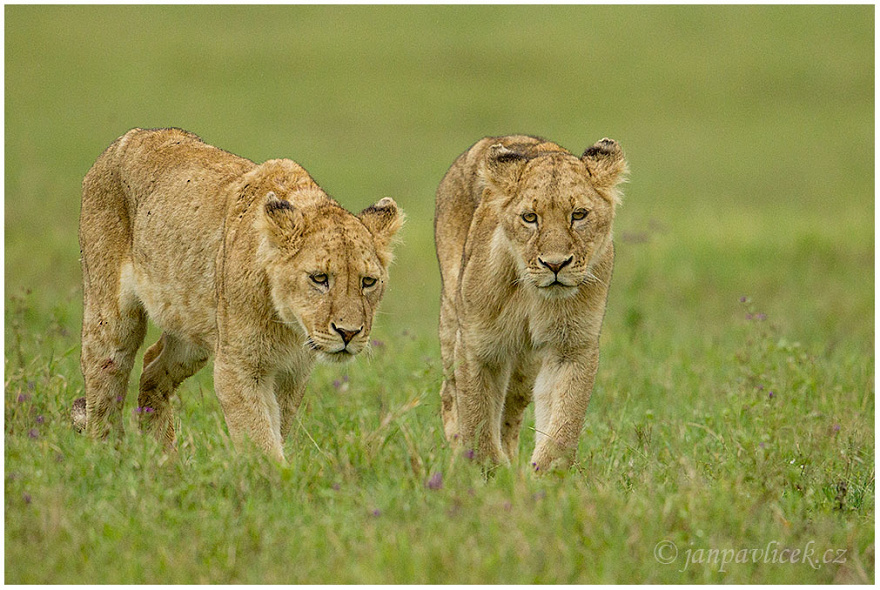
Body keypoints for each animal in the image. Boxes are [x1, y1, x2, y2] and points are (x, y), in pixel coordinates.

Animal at [76, 128, 406, 462]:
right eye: (319, 278)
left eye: (368, 282)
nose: (348, 333)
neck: (289, 325)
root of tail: (129, 136)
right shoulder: (239, 366)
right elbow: (260, 439)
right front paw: (272, 474)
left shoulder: (293, 371)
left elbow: (276, 427)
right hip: (112, 319)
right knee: (104, 380)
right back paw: (107, 456)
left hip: (193, 331)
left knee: (152, 367)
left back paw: (164, 456)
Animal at [434, 135, 624, 476]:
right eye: (530, 218)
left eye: (579, 215)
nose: (555, 264)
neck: (535, 297)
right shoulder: (478, 345)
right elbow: (477, 417)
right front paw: (488, 475)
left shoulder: (572, 347)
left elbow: (563, 425)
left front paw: (544, 477)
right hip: (451, 318)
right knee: (450, 395)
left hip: (525, 365)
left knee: (511, 410)